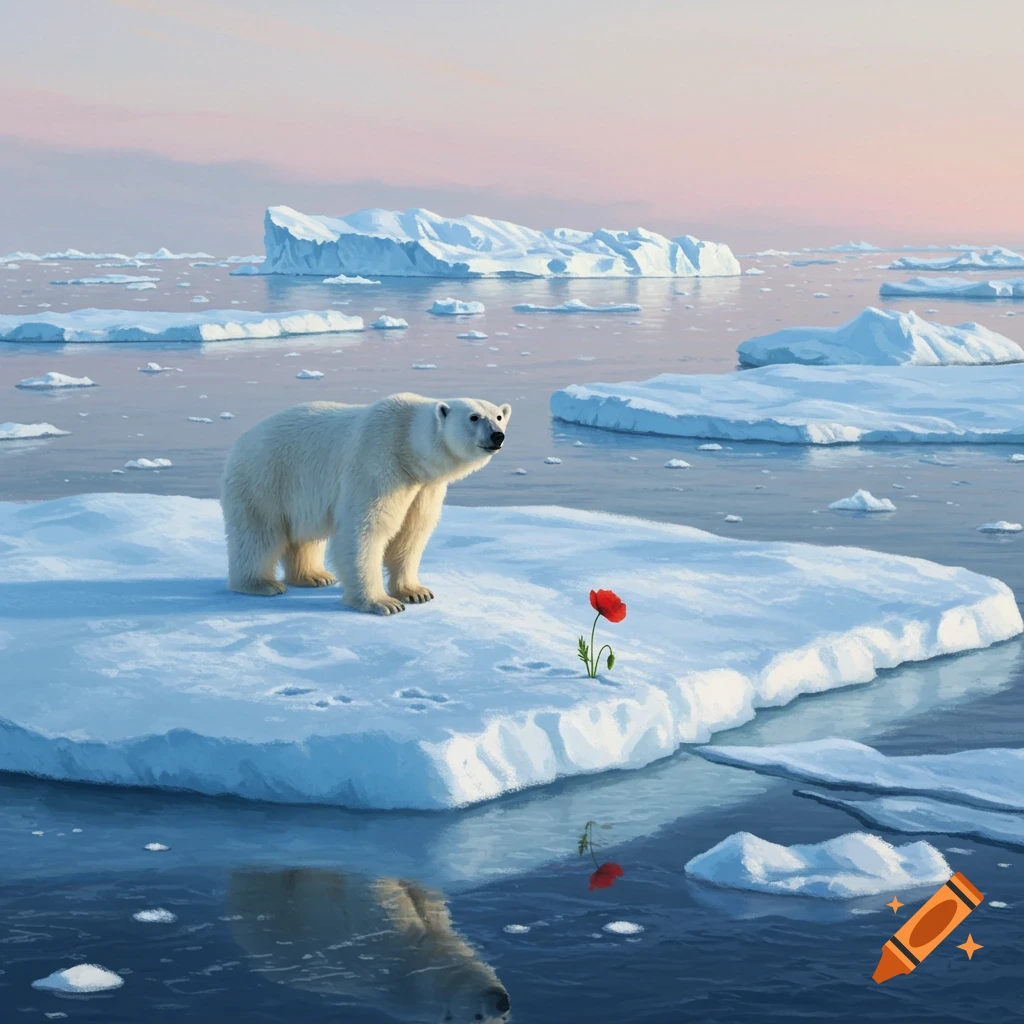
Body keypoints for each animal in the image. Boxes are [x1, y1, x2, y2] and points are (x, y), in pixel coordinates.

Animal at [221, 392, 510, 615]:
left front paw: (417, 592)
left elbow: (411, 533)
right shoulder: (378, 464)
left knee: (305, 536)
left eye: (498, 416)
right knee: (258, 535)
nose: (498, 436)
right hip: (265, 479)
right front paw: (383, 603)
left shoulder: (424, 486)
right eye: (474, 417)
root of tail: (240, 441)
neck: (408, 444)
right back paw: (261, 584)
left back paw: (314, 576)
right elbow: (365, 529)